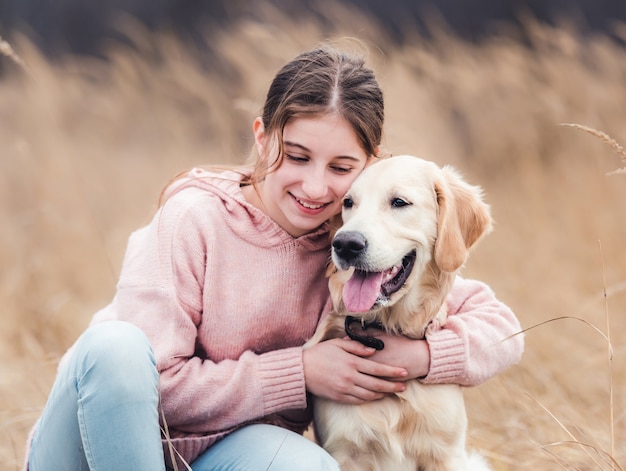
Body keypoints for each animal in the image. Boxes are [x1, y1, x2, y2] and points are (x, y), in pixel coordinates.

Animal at [306, 156, 492, 471]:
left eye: (399, 202)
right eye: (348, 202)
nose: (345, 244)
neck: (388, 326)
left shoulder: (446, 454)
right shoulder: (344, 451)